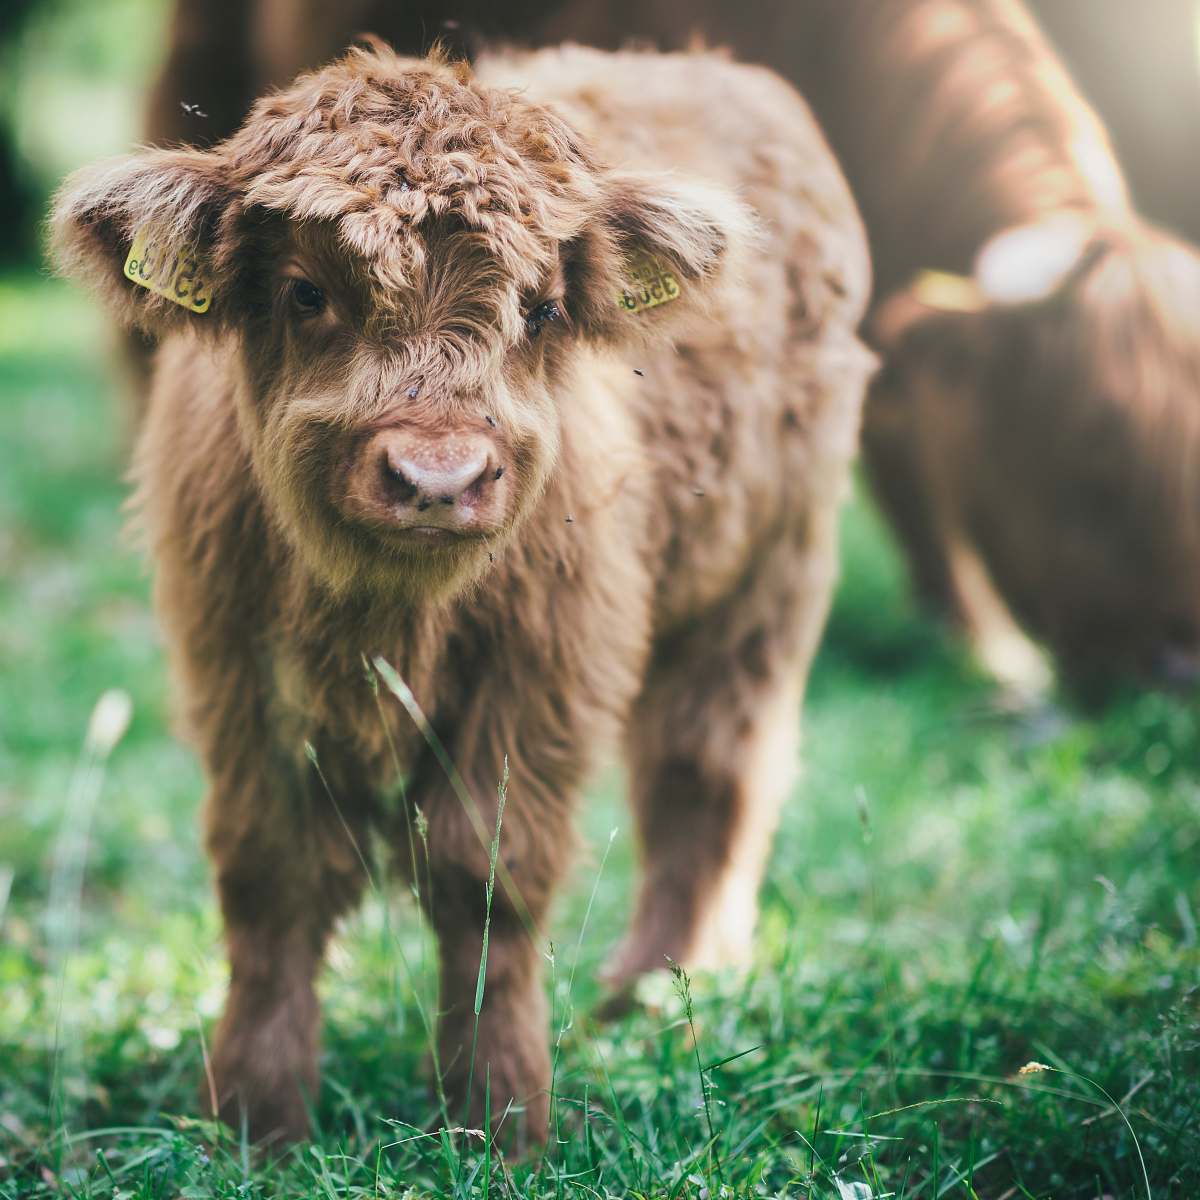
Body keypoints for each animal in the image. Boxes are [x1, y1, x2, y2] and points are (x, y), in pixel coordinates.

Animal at [54, 39, 873, 1142]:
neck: (380, 618)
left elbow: (486, 873)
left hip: (767, 574)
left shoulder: (544, 670)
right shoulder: (235, 668)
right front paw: (255, 1116)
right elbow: (273, 873)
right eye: (306, 292)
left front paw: (500, 1115)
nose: (437, 479)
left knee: (707, 769)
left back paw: (655, 995)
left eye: (540, 305)